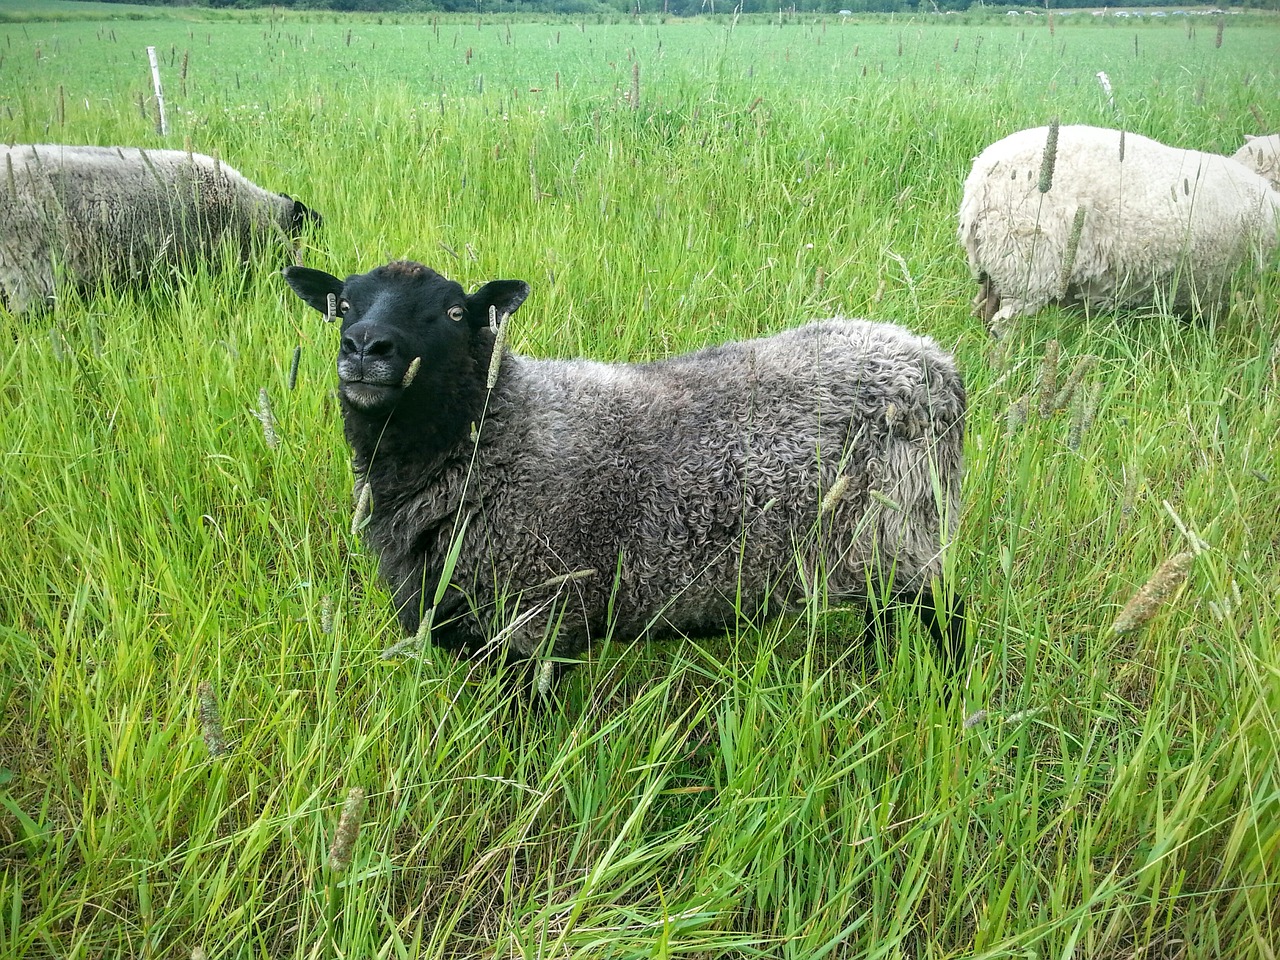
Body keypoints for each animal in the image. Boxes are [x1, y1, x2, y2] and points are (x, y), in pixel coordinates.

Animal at [280, 263, 962, 686]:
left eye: (452, 313)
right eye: (343, 306)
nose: (366, 348)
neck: (495, 430)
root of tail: (931, 358)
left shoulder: (536, 618)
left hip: (905, 535)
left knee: (944, 617)